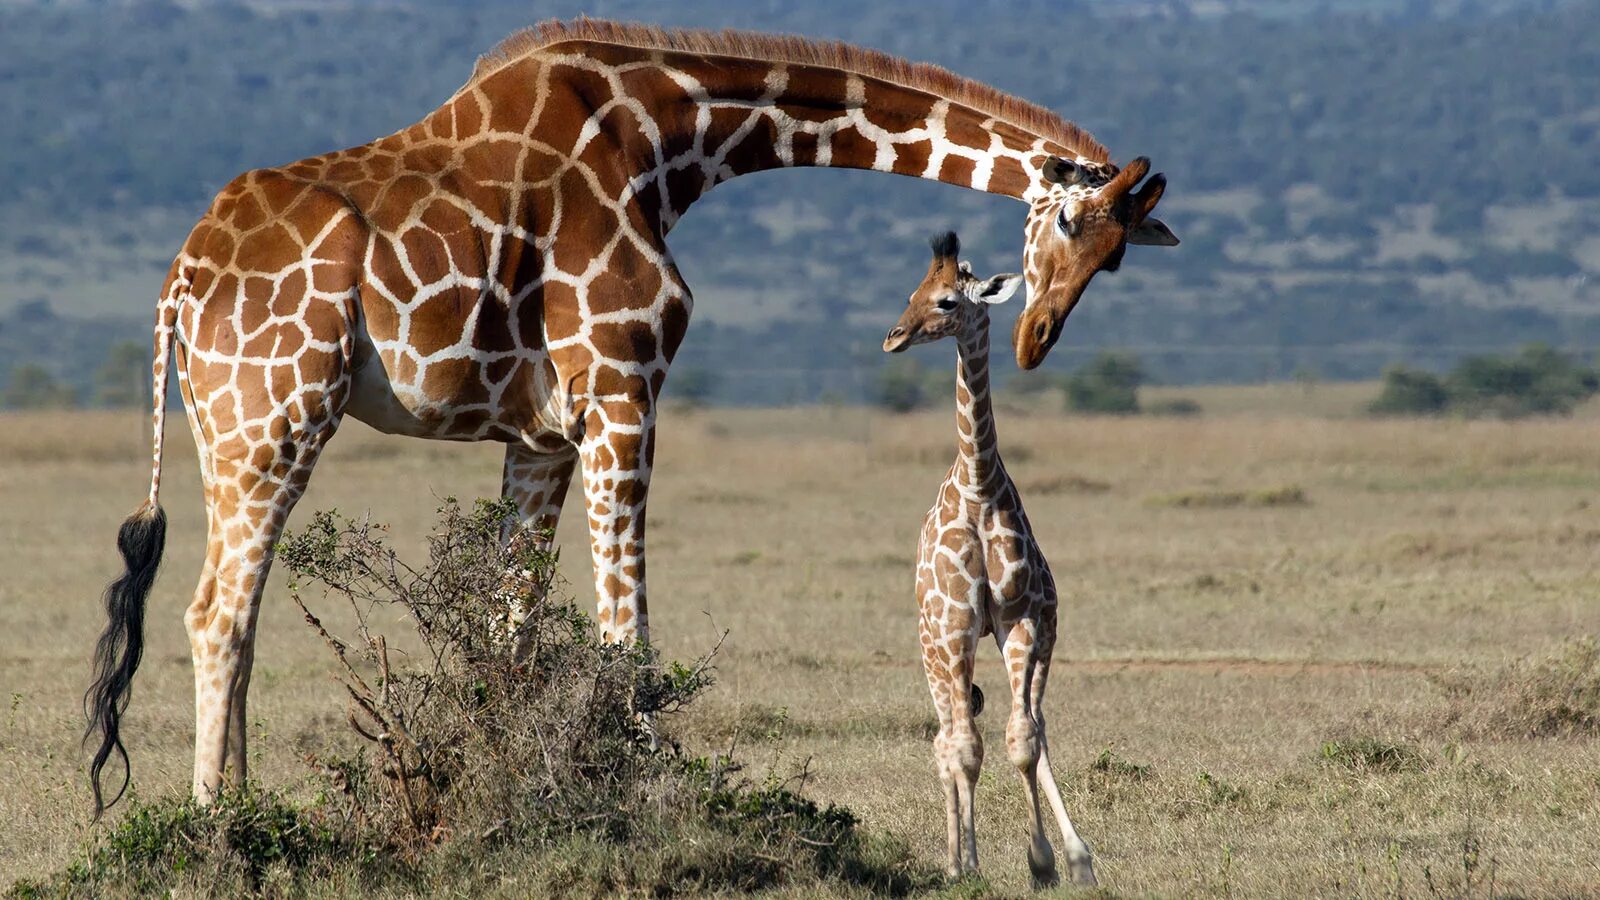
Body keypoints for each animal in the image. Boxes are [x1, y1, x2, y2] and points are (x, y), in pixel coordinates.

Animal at [84, 17, 1177, 810]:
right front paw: (647, 787)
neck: (669, 141)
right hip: (277, 415)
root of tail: (181, 280)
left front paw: (514, 789)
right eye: (1066, 222)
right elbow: (625, 632)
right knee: (216, 612)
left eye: (1117, 259)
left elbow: (515, 626)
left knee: (233, 611)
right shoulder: (622, 385)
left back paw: (240, 802)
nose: (1037, 339)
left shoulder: (540, 432)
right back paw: (219, 824)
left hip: (222, 427)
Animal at [889, 229, 1100, 883]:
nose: (893, 336)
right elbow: (966, 749)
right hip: (933, 650)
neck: (979, 487)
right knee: (946, 739)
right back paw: (959, 860)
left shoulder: (1022, 620)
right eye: (913, 291)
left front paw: (1054, 861)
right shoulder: (958, 628)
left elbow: (1023, 740)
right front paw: (968, 865)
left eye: (946, 301)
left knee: (1023, 728)